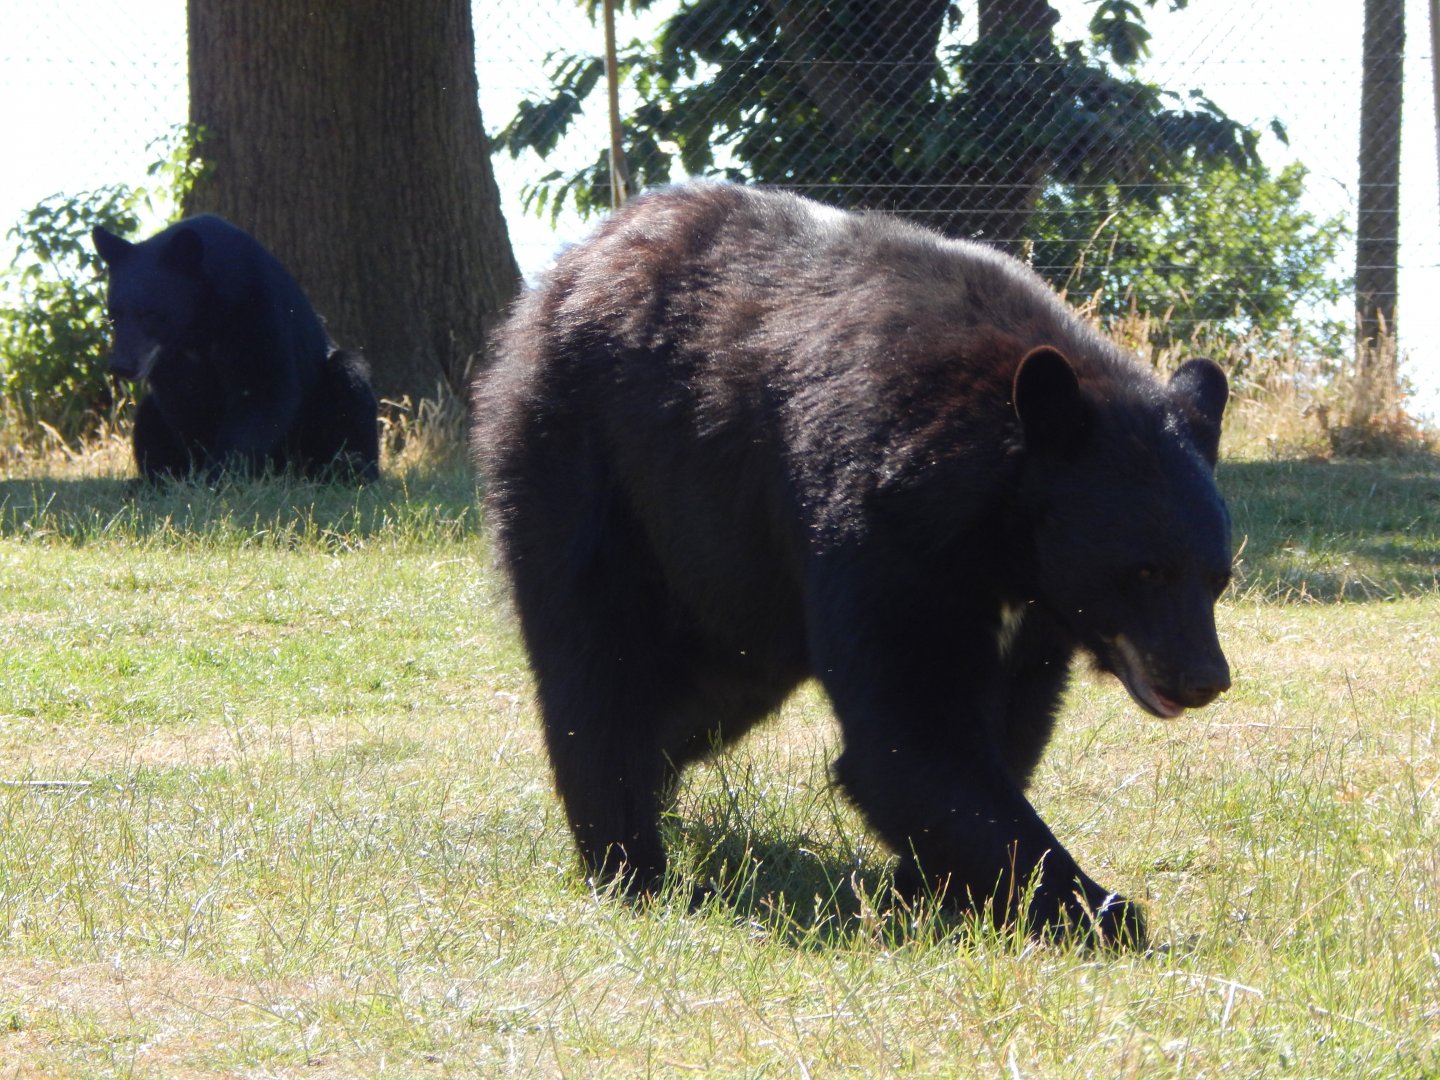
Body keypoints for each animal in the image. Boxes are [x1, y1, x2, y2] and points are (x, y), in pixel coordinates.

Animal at [92, 214, 380, 483]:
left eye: (151, 314)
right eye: (113, 314)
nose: (121, 365)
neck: (198, 325)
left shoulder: (256, 312)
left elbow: (263, 391)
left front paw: (219, 475)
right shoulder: (170, 363)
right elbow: (185, 409)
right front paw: (194, 474)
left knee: (349, 384)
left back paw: (346, 468)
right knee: (148, 417)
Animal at [472, 182, 1233, 946]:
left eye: (1217, 577)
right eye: (1144, 571)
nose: (1204, 677)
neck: (1000, 534)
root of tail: (565, 271)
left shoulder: (1032, 610)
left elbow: (1003, 725)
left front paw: (933, 884)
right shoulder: (883, 520)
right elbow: (908, 731)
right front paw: (1098, 907)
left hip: (729, 577)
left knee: (699, 694)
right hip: (585, 462)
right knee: (598, 667)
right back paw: (630, 864)